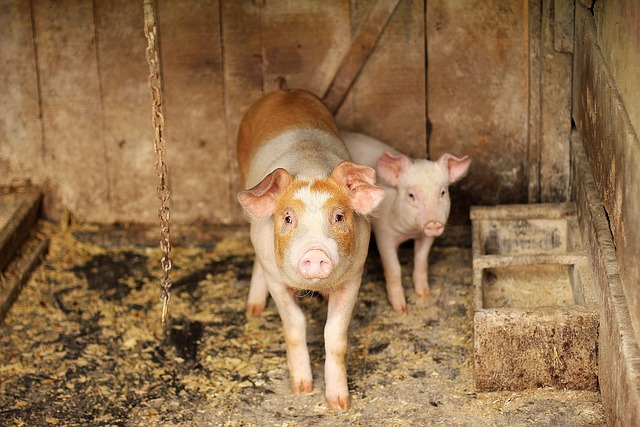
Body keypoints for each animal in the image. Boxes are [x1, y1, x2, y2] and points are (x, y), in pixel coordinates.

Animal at [238, 88, 382, 412]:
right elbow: (295, 325)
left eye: (339, 217)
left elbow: (335, 336)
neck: (310, 167)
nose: (315, 252)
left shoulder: (354, 276)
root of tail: (284, 90)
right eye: (288, 218)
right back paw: (253, 310)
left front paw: (339, 404)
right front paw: (302, 390)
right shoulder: (276, 280)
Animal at [342, 132, 472, 312]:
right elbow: (394, 269)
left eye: (443, 192)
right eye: (411, 195)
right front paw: (401, 309)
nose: (433, 223)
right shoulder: (384, 235)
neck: (409, 232)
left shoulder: (426, 237)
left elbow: (421, 260)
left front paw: (425, 294)